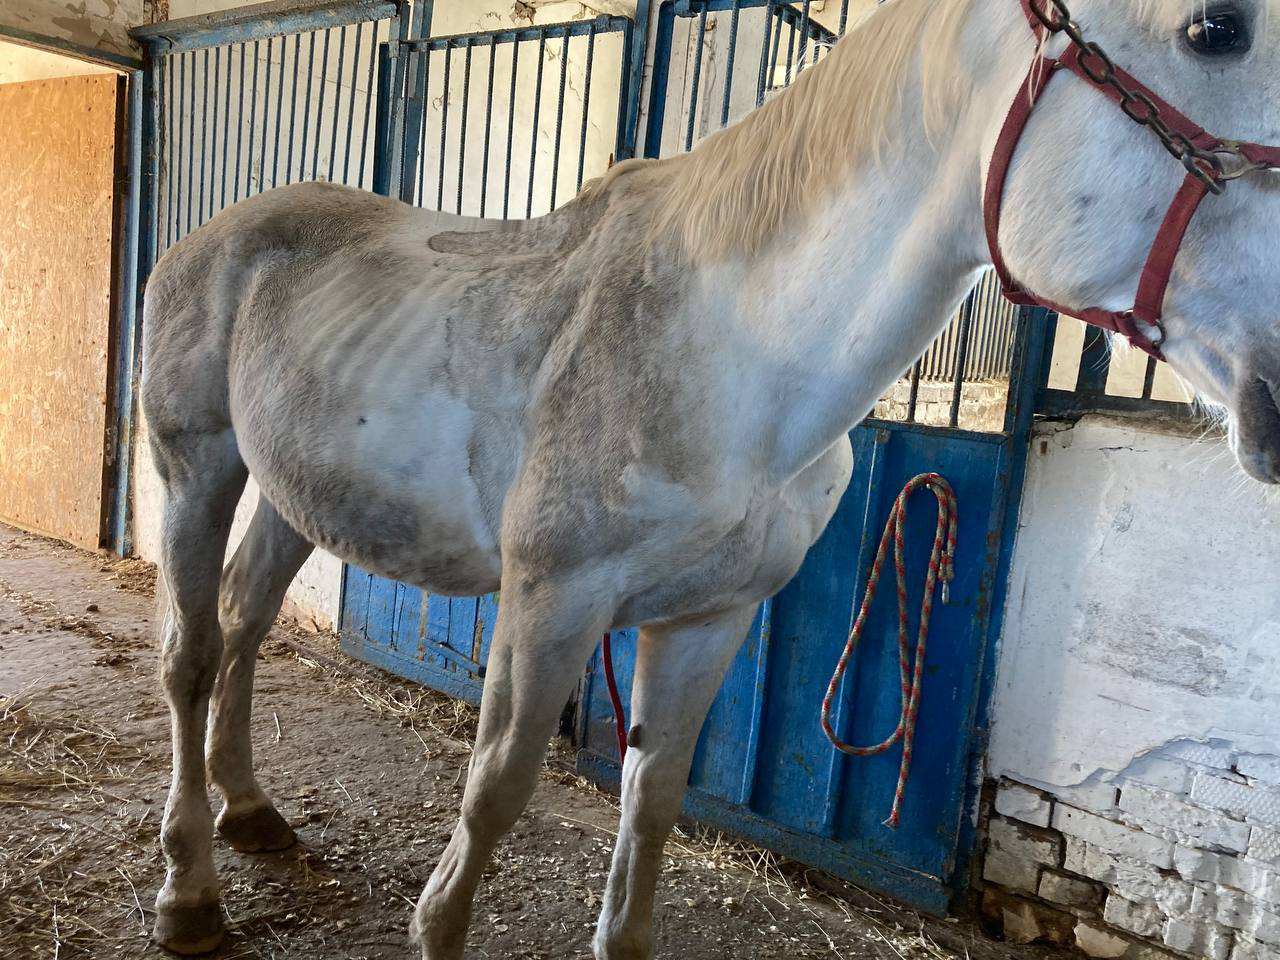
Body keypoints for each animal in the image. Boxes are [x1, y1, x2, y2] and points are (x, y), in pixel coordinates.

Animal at [140, 0, 1280, 957]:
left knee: (243, 622)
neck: (736, 354)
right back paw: (189, 892)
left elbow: (653, 798)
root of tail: (221, 233)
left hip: (294, 493)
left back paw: (251, 813)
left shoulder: (709, 618)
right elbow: (495, 789)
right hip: (196, 467)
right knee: (191, 655)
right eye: (1215, 30)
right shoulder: (550, 601)